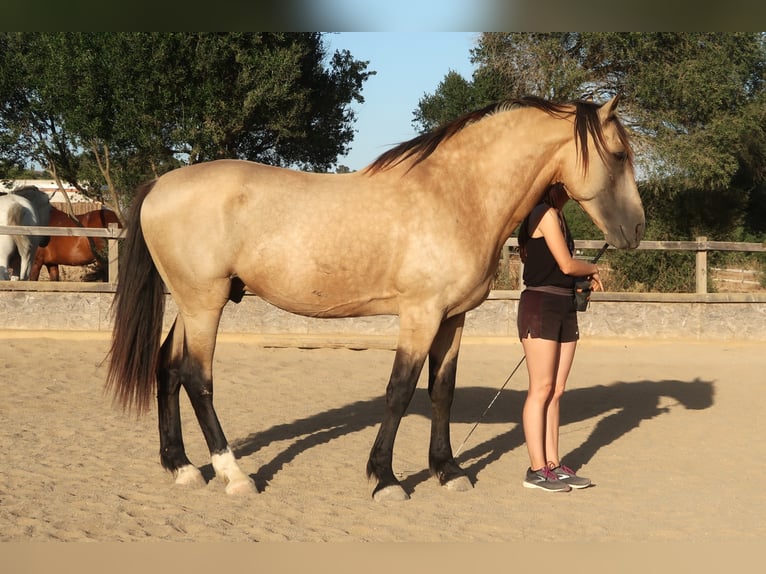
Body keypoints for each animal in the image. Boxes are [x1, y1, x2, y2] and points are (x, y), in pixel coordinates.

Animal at [106, 97, 648, 502]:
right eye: (620, 155)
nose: (637, 230)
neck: (457, 195)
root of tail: (161, 183)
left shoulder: (452, 320)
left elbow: (442, 391)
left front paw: (447, 470)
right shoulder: (420, 315)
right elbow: (400, 391)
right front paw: (385, 478)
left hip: (191, 303)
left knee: (166, 367)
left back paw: (180, 466)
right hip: (205, 304)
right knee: (197, 379)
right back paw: (233, 475)